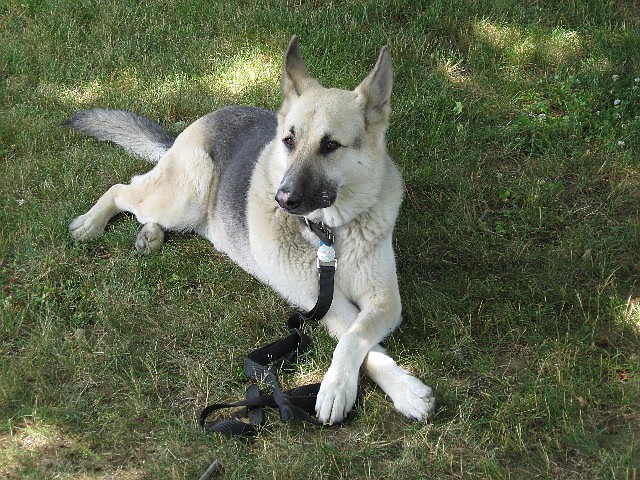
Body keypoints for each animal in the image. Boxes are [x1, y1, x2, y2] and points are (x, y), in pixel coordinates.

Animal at [66, 35, 436, 424]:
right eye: (289, 141)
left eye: (331, 145)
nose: (283, 198)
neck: (330, 234)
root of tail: (196, 126)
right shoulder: (324, 304)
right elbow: (359, 339)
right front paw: (358, 389)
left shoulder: (384, 300)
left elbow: (358, 336)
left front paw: (389, 389)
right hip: (183, 197)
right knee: (122, 188)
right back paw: (91, 223)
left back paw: (149, 234)